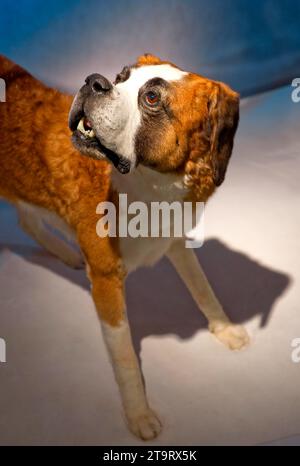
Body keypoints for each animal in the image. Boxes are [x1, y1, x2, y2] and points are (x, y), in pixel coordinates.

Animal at [0, 54, 248, 440]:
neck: (149, 186)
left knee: (27, 219)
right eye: (120, 77)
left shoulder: (175, 240)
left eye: (151, 98)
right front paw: (138, 414)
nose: (94, 81)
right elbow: (125, 356)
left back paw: (65, 252)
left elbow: (202, 288)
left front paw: (225, 329)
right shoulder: (106, 281)